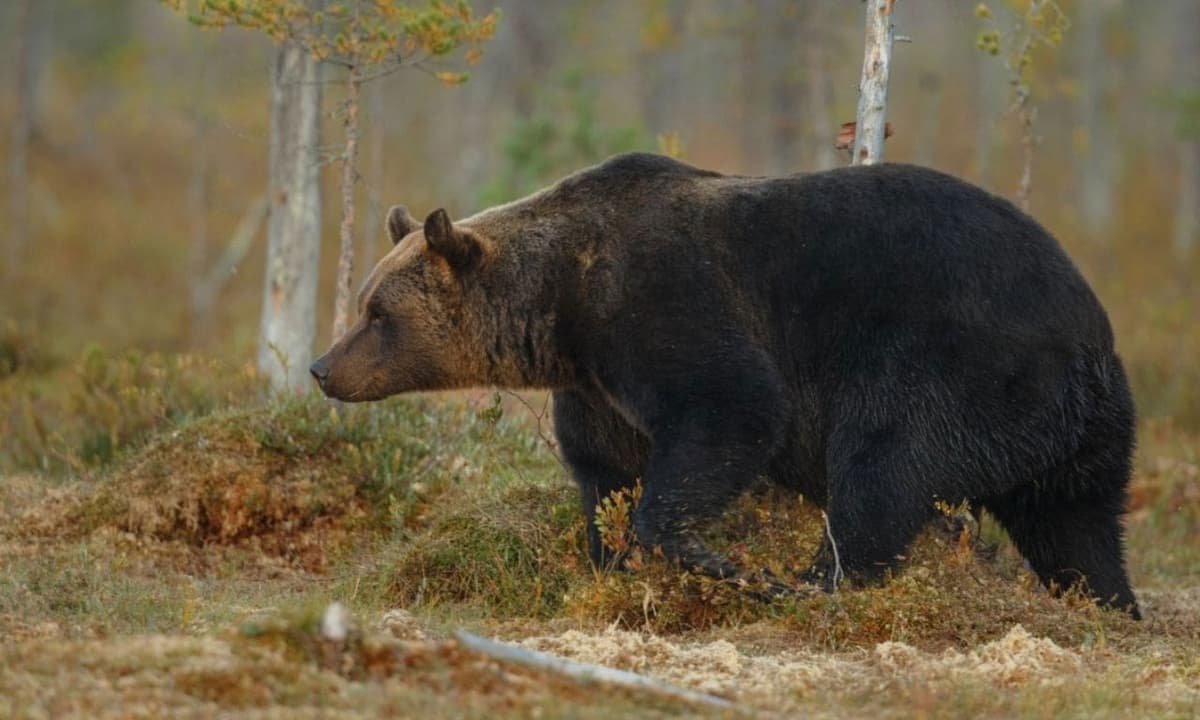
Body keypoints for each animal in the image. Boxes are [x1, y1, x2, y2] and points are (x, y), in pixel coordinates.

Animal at [310, 152, 1141, 618]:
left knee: (884, 469)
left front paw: (715, 561)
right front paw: (611, 563)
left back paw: (813, 584)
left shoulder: (663, 303)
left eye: (377, 312)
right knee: (1077, 525)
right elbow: (604, 474)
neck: (561, 307)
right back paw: (1108, 608)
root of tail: (1089, 330)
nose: (322, 368)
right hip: (1074, 430)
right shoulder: (596, 387)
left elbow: (731, 410)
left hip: (951, 361)